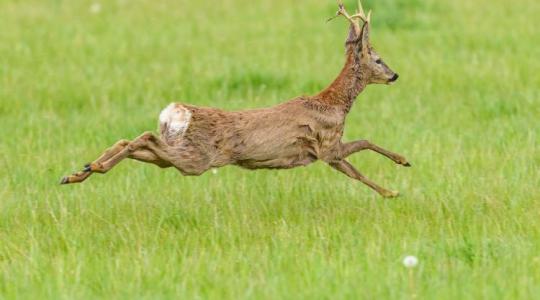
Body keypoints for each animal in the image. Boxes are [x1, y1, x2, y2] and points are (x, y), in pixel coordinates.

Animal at [60, 2, 410, 199]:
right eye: (378, 58)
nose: (395, 75)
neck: (334, 103)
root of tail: (175, 113)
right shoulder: (327, 147)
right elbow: (361, 156)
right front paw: (393, 187)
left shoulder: (326, 149)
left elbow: (362, 151)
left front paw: (399, 171)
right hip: (196, 158)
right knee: (143, 138)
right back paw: (88, 168)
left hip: (177, 153)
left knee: (133, 141)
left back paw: (79, 170)